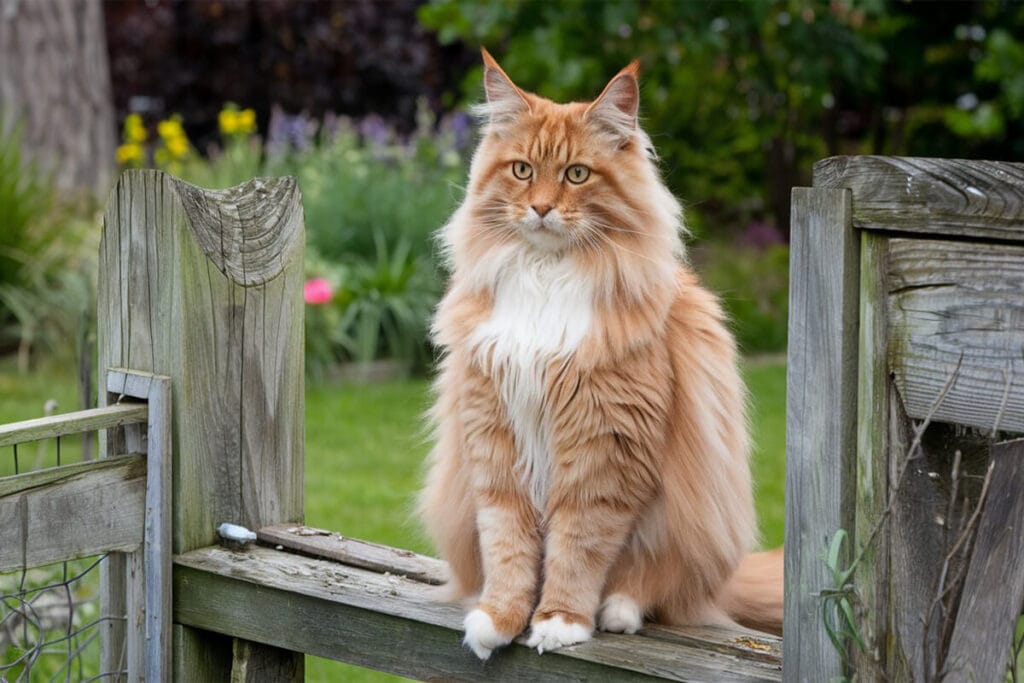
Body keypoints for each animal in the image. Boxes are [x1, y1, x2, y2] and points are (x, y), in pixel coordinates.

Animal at [417, 49, 782, 663]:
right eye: (522, 171)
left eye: (576, 174)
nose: (541, 208)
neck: (546, 278)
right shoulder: (494, 436)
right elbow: (508, 543)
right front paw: (500, 617)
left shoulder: (605, 447)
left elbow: (578, 545)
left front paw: (560, 621)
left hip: (692, 525)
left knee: (660, 589)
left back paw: (618, 610)